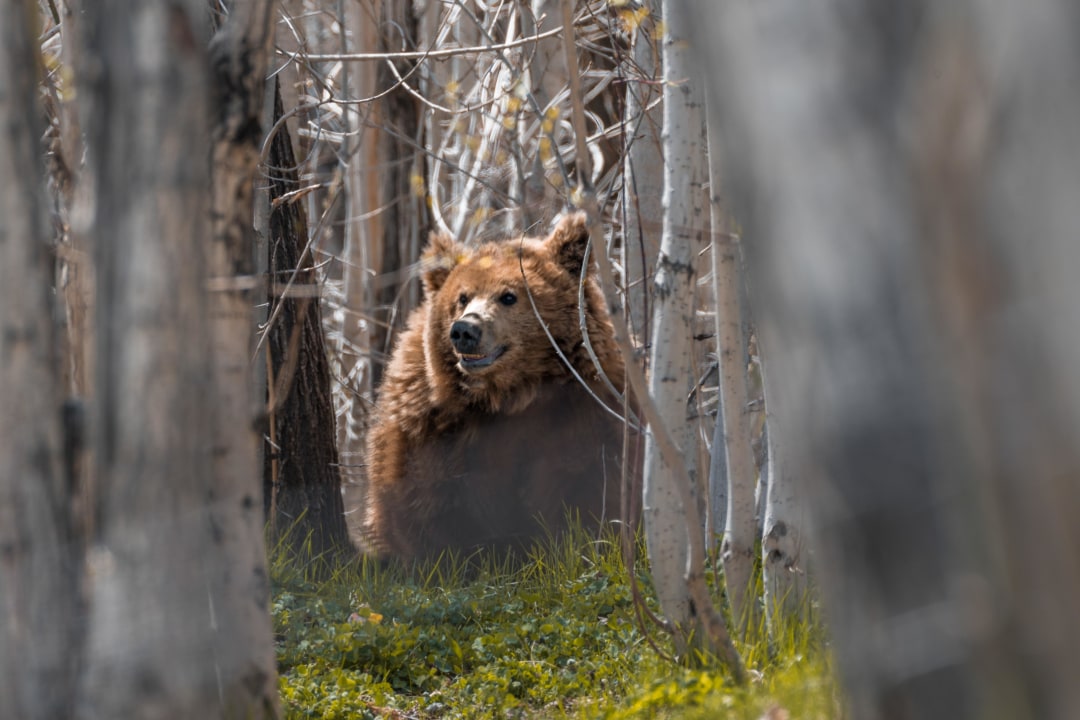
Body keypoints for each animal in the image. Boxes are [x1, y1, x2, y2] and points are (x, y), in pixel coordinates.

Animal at [361, 212, 638, 563]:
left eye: (508, 296)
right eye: (462, 297)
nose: (465, 330)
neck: (510, 394)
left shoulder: (586, 411)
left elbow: (587, 489)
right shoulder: (433, 426)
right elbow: (426, 504)